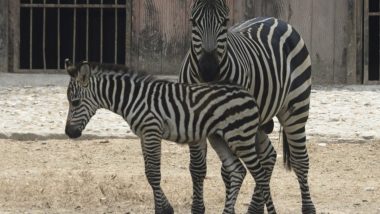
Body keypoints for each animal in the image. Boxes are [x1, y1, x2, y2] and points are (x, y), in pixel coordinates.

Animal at [63, 59, 276, 214]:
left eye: (75, 102)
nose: (69, 133)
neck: (132, 98)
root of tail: (248, 94)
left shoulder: (151, 130)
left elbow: (153, 174)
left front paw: (163, 210)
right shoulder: (143, 134)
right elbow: (148, 173)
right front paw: (163, 207)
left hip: (241, 138)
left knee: (259, 174)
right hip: (220, 138)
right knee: (238, 171)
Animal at [180, 0, 316, 213]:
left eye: (225, 21)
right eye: (193, 21)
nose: (209, 70)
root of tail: (276, 19)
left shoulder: (234, 123)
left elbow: (228, 170)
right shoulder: (194, 122)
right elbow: (197, 168)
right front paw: (198, 208)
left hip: (295, 108)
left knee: (300, 160)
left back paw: (307, 208)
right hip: (257, 121)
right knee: (268, 155)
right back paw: (255, 208)